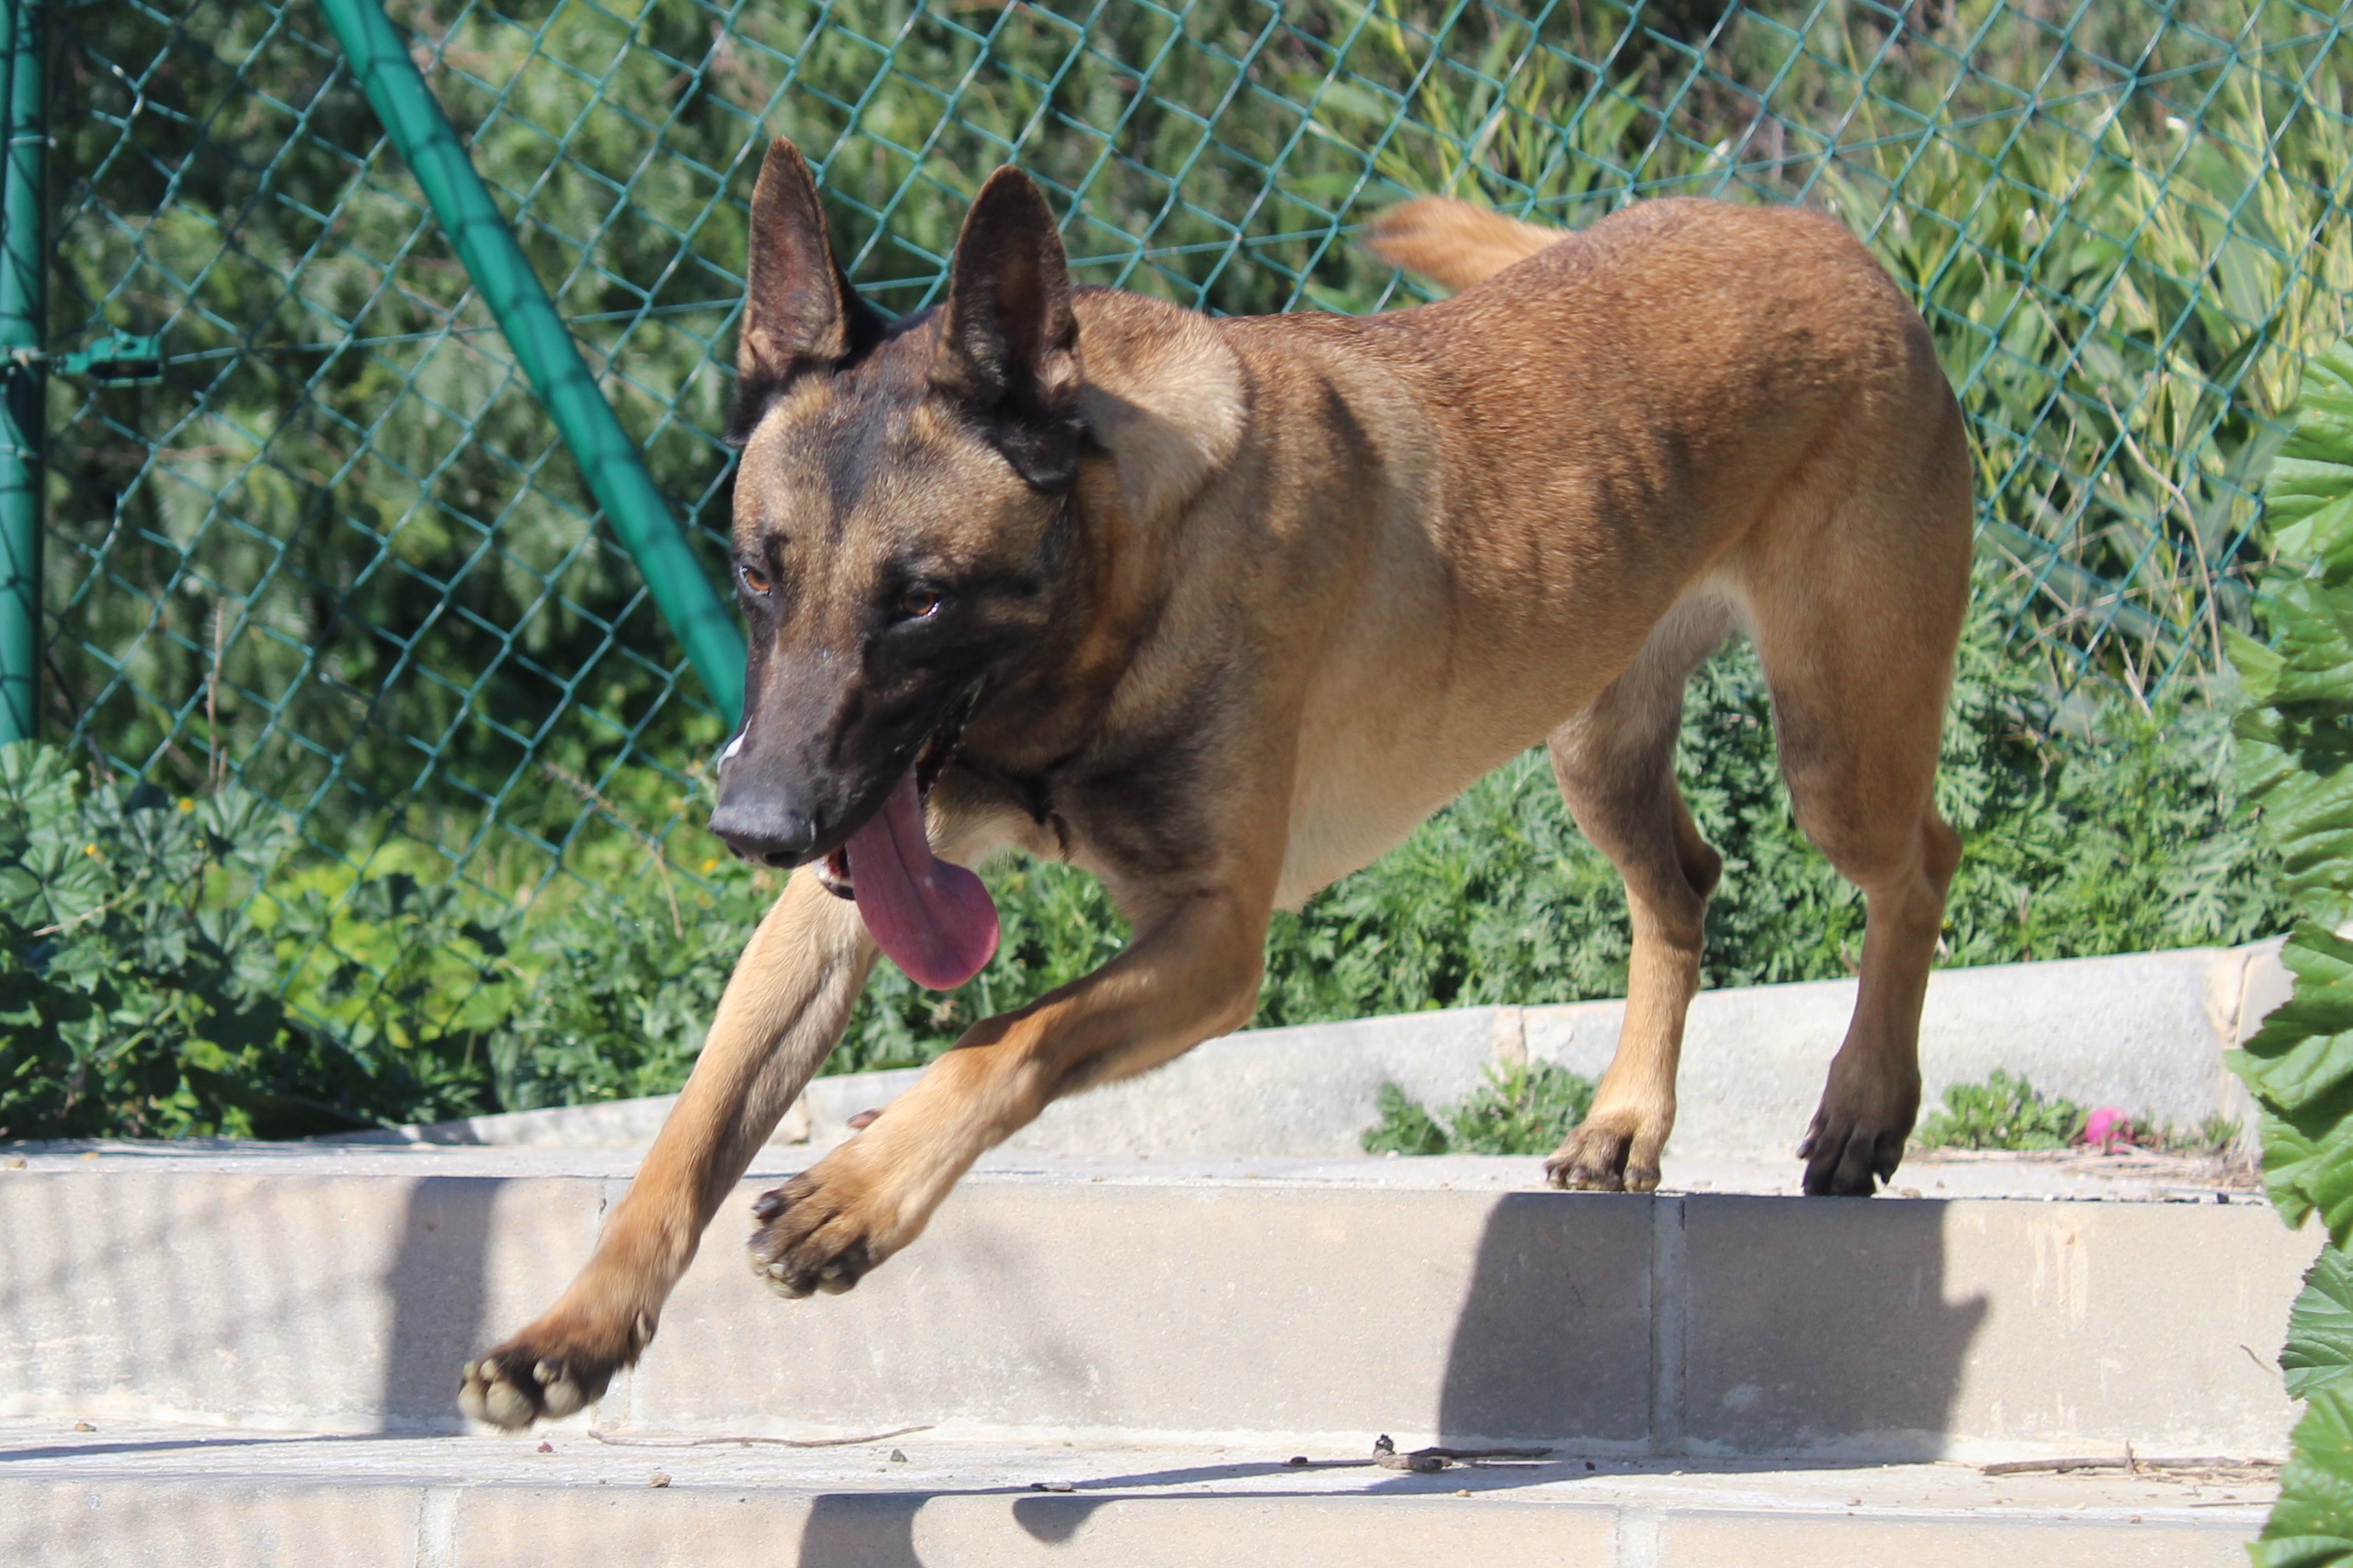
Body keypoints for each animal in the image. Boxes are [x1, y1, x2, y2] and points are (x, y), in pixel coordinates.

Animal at [454, 141, 1967, 1429]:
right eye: (756, 571)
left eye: (922, 601)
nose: (753, 823)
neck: (1109, 584)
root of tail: (1810, 230)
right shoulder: (840, 901)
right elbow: (691, 1129)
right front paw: (573, 1327)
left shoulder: (1210, 939)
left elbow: (999, 1036)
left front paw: (857, 1194)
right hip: (1592, 746)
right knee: (1682, 888)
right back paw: (1626, 1117)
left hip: (1833, 747)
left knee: (1921, 858)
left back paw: (1864, 1101)